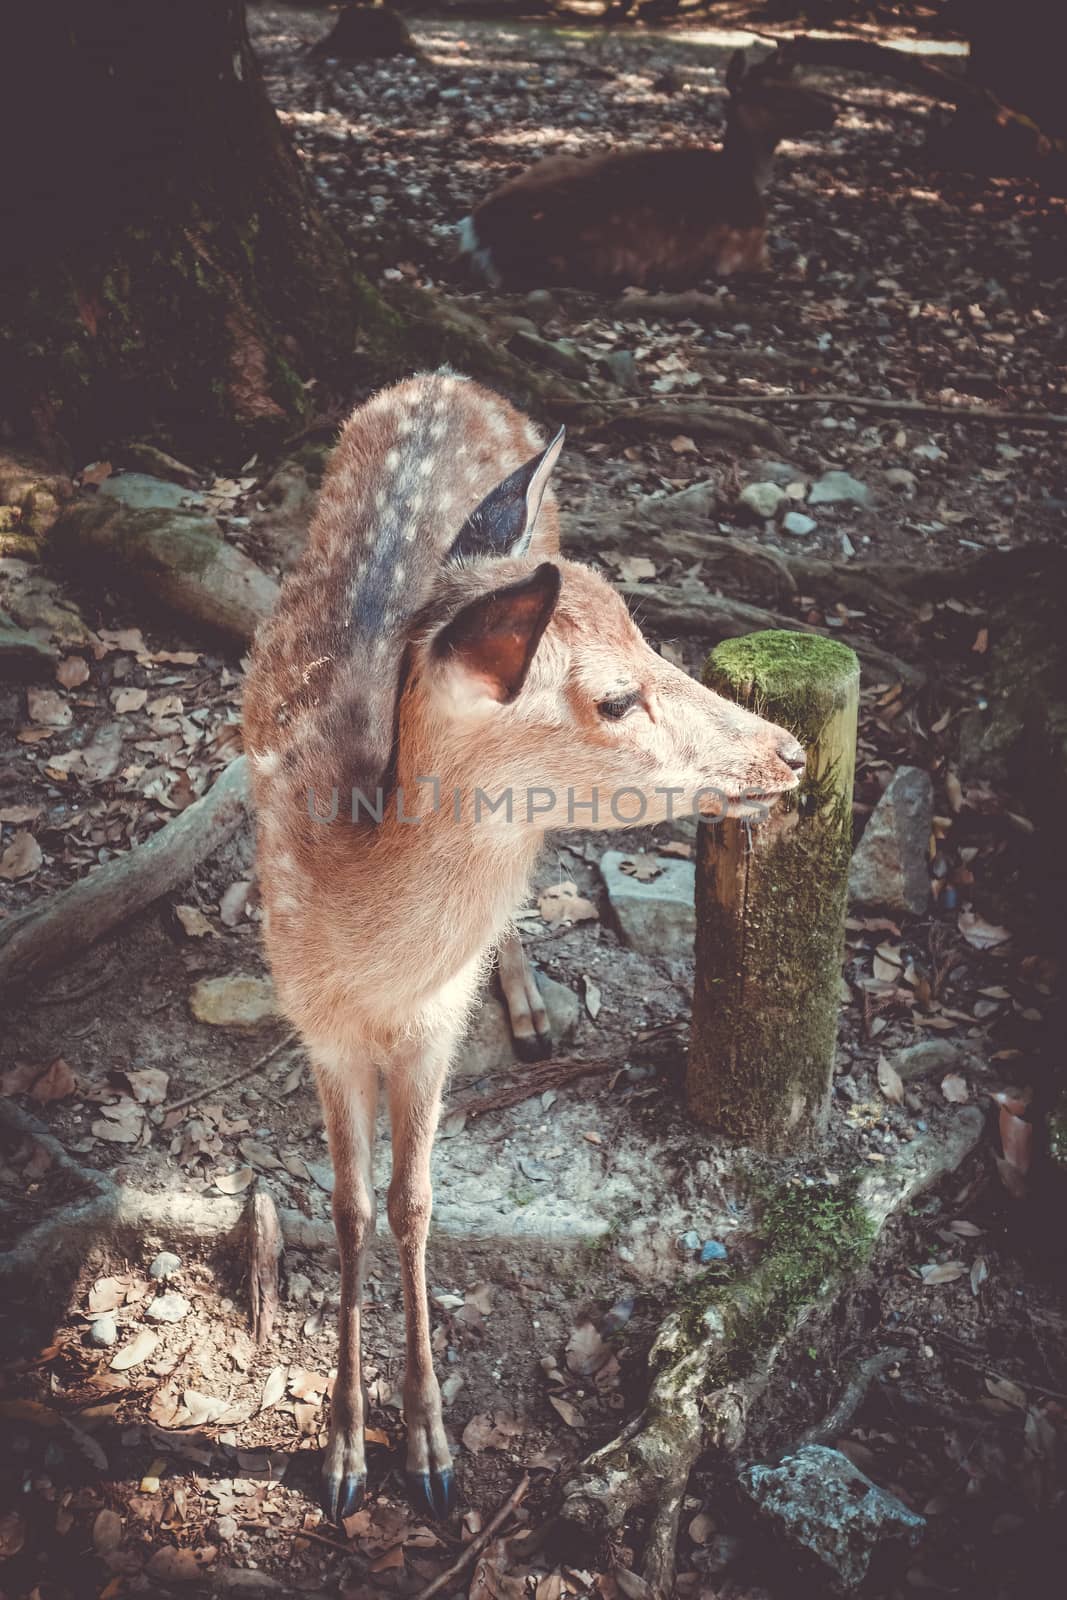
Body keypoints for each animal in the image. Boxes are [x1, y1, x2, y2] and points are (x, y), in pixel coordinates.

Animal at [244, 366, 809, 1523]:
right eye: (614, 695)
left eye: (649, 636)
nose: (789, 751)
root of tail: (444, 378)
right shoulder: (313, 1017)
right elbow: (349, 1206)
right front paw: (343, 1455)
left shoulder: (431, 1024)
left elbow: (414, 1203)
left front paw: (429, 1453)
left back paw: (534, 1009)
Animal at [454, 49, 838, 294]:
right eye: (773, 94)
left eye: (798, 81)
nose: (831, 111)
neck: (745, 177)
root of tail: (477, 231)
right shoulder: (745, 254)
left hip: (554, 160)